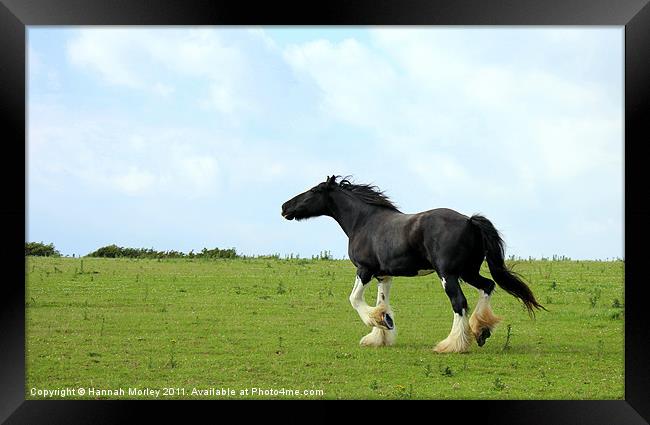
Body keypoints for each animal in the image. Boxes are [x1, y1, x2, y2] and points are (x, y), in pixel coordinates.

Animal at [282, 175, 540, 352]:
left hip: (448, 274)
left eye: (314, 190)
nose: (285, 207)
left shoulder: (364, 269)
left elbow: (355, 299)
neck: (364, 222)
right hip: (468, 272)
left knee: (459, 302)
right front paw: (381, 330)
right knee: (487, 286)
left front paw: (376, 323)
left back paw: (452, 344)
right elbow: (382, 303)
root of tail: (469, 221)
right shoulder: (383, 275)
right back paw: (481, 331)